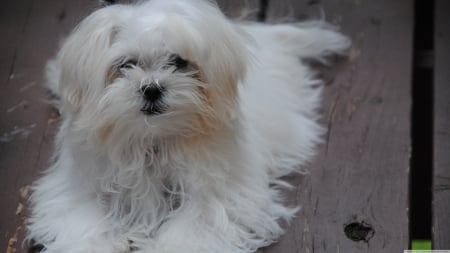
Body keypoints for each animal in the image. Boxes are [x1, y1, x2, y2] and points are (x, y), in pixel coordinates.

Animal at [25, 0, 352, 252]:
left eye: (179, 62)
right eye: (126, 64)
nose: (152, 88)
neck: (153, 140)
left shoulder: (216, 199)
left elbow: (191, 228)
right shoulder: (80, 191)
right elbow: (84, 221)